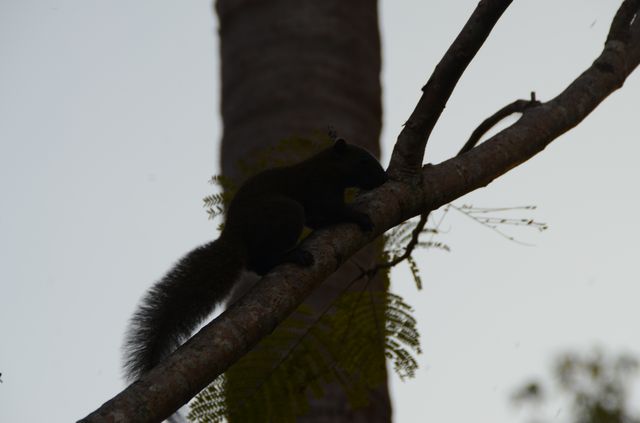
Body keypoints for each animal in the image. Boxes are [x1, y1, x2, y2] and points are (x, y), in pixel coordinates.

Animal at [122, 138, 388, 380]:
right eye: (363, 161)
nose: (384, 178)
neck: (327, 169)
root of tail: (234, 236)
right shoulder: (318, 189)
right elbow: (333, 211)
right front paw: (359, 217)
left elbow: (320, 219)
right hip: (285, 212)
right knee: (262, 260)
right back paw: (291, 256)